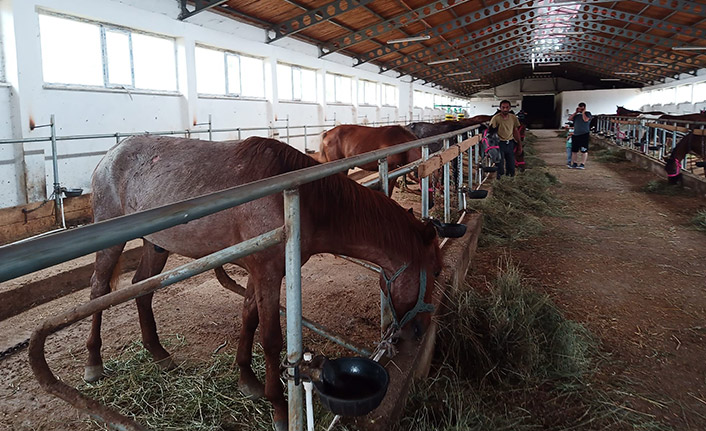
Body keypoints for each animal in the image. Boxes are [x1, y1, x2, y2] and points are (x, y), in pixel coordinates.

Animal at [85, 135, 440, 431]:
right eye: (435, 271)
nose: (420, 331)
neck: (304, 200)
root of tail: (110, 155)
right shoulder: (269, 273)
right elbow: (270, 339)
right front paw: (279, 408)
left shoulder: (258, 272)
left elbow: (249, 319)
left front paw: (247, 379)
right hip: (110, 240)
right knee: (99, 290)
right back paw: (94, 363)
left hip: (155, 245)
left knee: (142, 289)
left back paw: (158, 353)